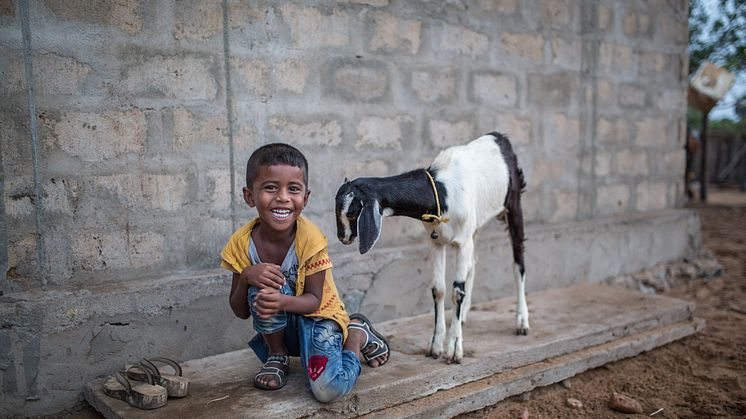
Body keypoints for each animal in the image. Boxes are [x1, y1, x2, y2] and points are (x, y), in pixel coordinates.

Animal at [334, 132, 528, 364]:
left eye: (352, 213)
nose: (342, 237)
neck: (442, 191)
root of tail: (500, 137)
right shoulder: (436, 241)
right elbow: (439, 289)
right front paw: (436, 344)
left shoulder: (462, 241)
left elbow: (457, 291)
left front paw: (454, 348)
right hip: (475, 226)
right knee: (473, 263)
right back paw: (462, 317)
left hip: (513, 205)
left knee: (518, 264)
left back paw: (522, 321)